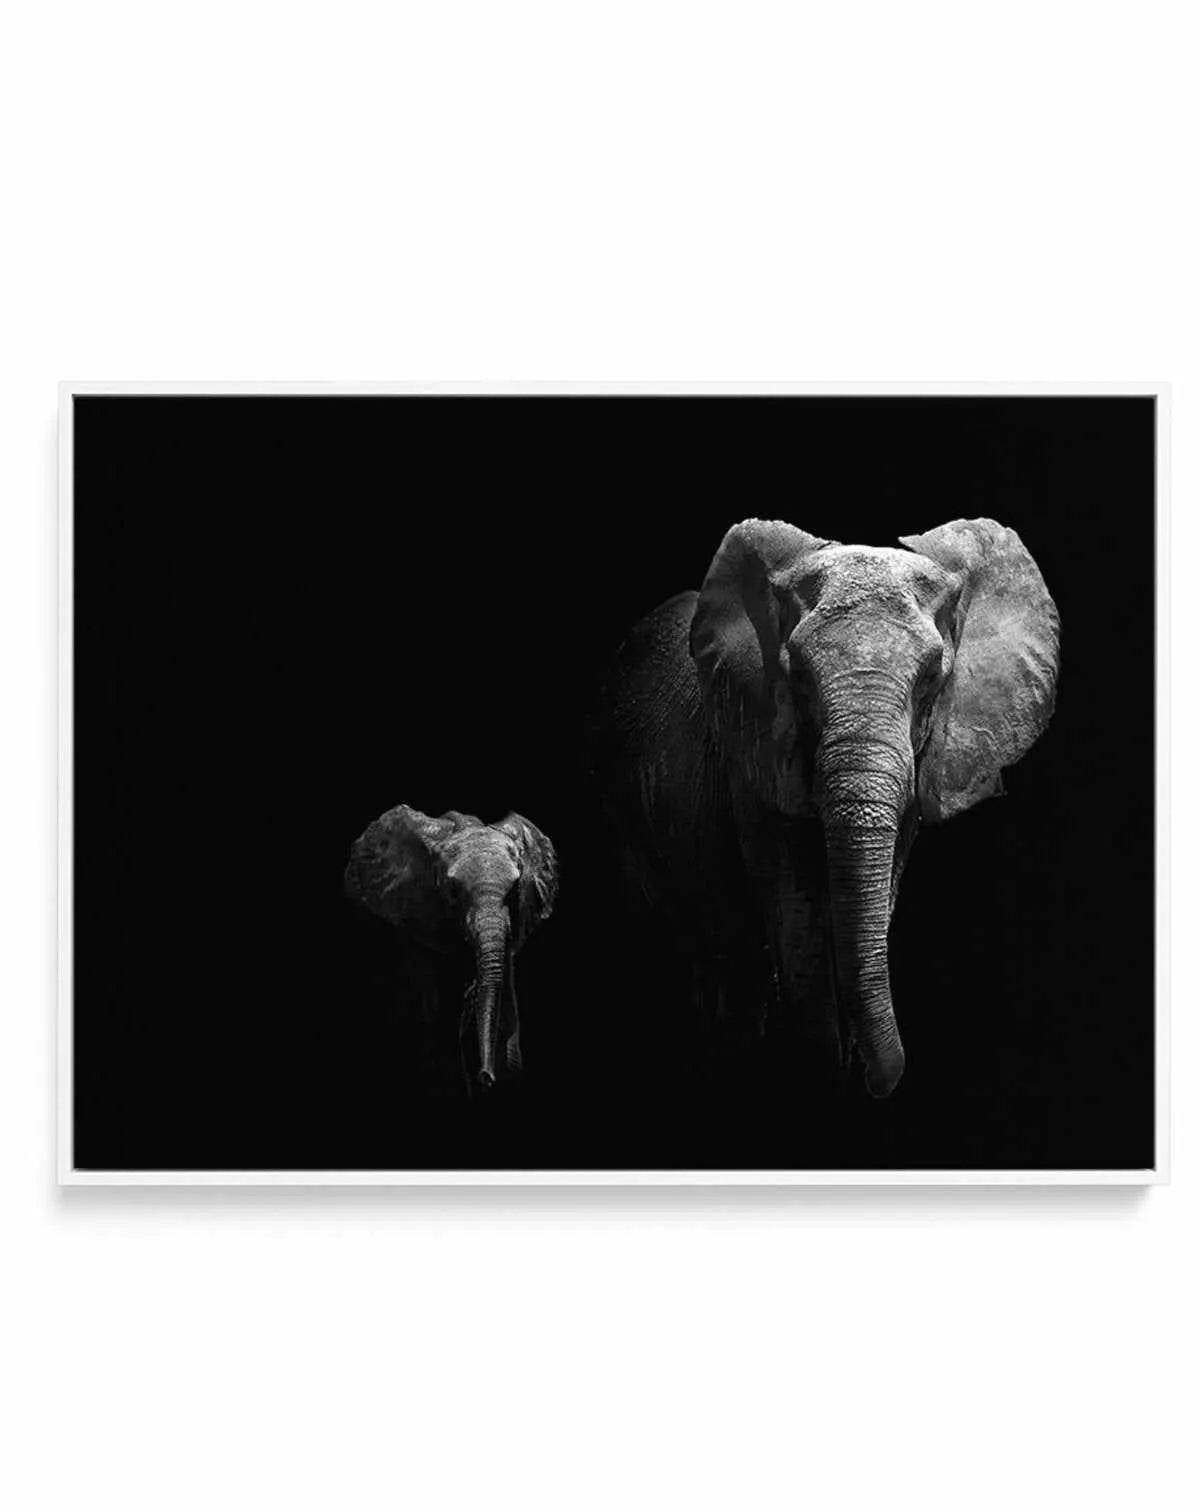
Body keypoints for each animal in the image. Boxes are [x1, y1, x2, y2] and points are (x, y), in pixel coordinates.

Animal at [590, 517, 1060, 1099]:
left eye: (932, 678)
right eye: (798, 676)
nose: (881, 1082)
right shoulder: (755, 752)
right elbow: (796, 911)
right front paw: (824, 1075)